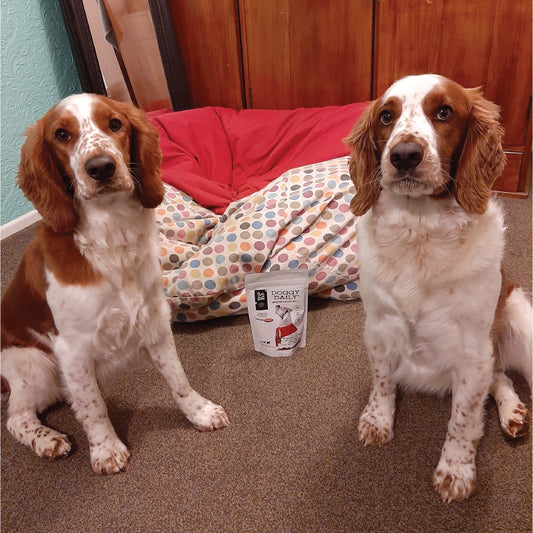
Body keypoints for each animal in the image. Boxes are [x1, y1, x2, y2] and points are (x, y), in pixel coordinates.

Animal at [2, 93, 231, 472]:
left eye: (114, 124)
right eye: (61, 134)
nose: (100, 167)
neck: (112, 236)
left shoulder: (154, 322)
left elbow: (178, 379)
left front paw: (199, 411)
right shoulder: (73, 349)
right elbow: (93, 407)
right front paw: (106, 449)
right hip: (34, 366)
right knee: (17, 417)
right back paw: (48, 440)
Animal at [342, 75, 528, 502]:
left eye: (444, 112)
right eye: (386, 116)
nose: (404, 155)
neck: (419, 234)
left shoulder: (473, 350)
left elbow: (463, 418)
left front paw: (456, 470)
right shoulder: (379, 327)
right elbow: (381, 381)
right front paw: (377, 421)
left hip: (520, 324)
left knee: (500, 376)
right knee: (502, 377)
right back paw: (513, 412)